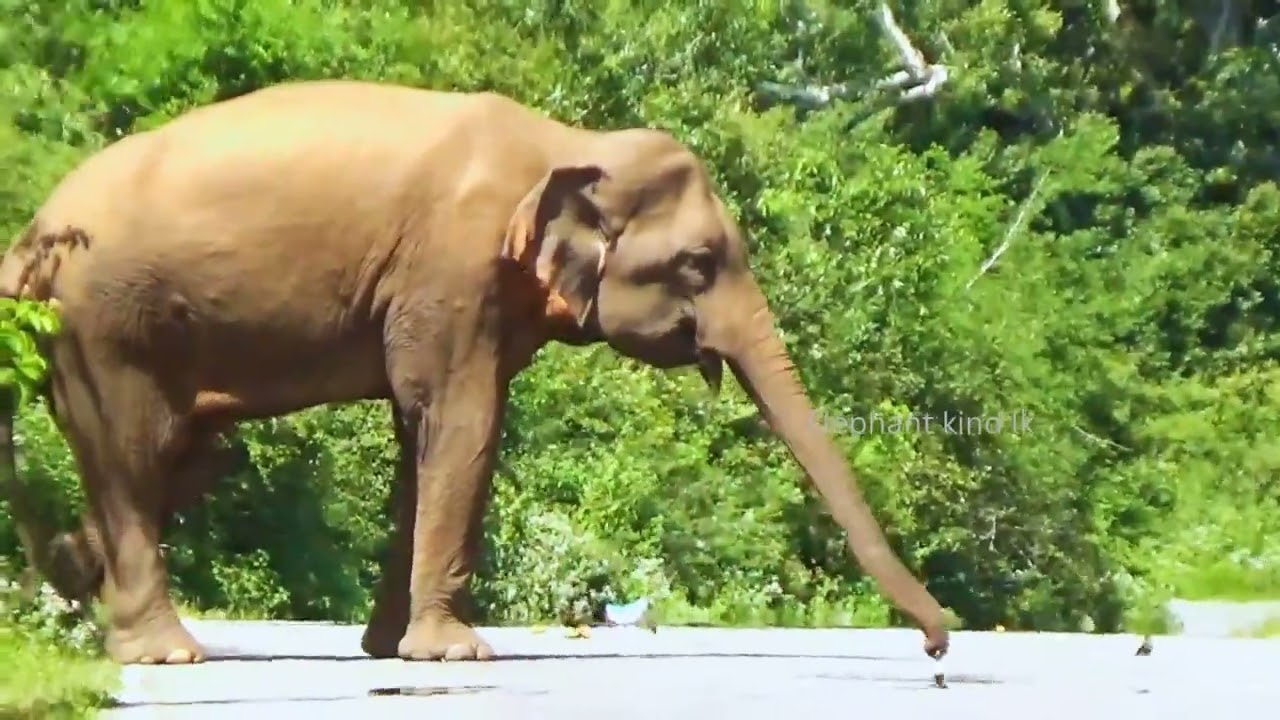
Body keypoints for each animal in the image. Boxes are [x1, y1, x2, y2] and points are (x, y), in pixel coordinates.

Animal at [0, 79, 950, 665]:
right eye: (698, 263)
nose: (938, 648)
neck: (569, 143)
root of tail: (28, 235)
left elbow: (421, 431)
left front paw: (390, 651)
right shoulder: (454, 268)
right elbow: (462, 419)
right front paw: (453, 654)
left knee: (185, 458)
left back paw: (77, 586)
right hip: (105, 322)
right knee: (138, 453)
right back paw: (166, 652)